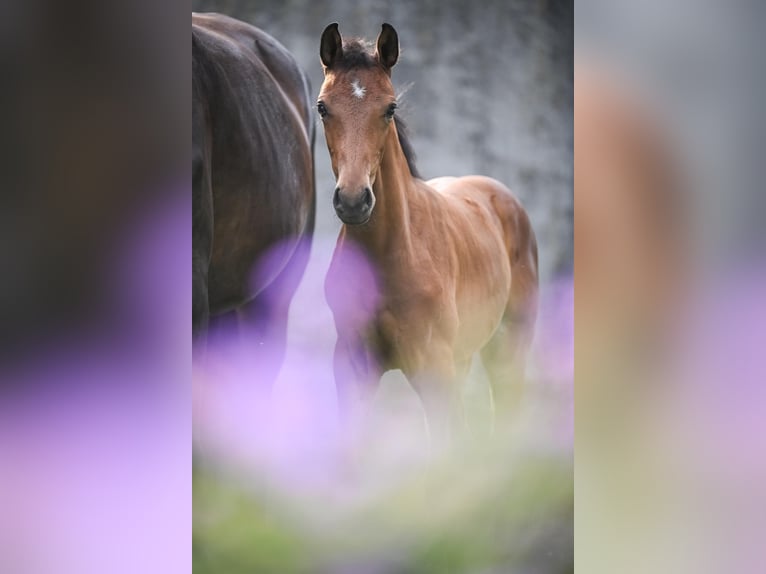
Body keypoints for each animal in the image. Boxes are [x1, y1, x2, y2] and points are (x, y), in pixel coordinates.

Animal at [319, 23, 539, 443]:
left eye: (390, 108)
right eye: (323, 107)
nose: (353, 201)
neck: (391, 255)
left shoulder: (434, 367)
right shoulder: (352, 364)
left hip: (507, 350)